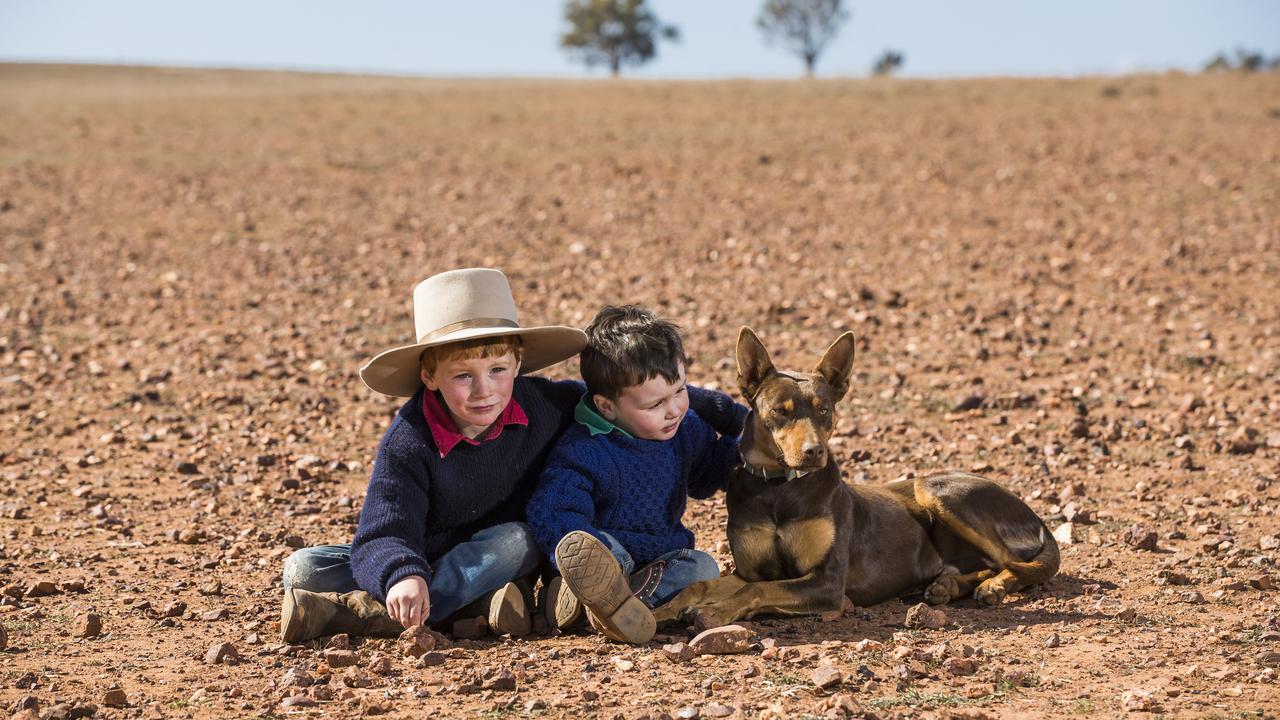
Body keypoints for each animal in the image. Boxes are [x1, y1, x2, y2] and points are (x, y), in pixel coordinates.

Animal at [655, 327, 1054, 625]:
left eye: (824, 410)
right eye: (781, 411)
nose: (814, 452)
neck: (779, 490)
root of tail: (1033, 516)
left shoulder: (828, 582)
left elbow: (755, 591)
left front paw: (714, 613)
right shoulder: (750, 570)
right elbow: (700, 587)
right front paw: (664, 610)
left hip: (934, 488)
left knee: (1022, 565)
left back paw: (992, 587)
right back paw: (949, 586)